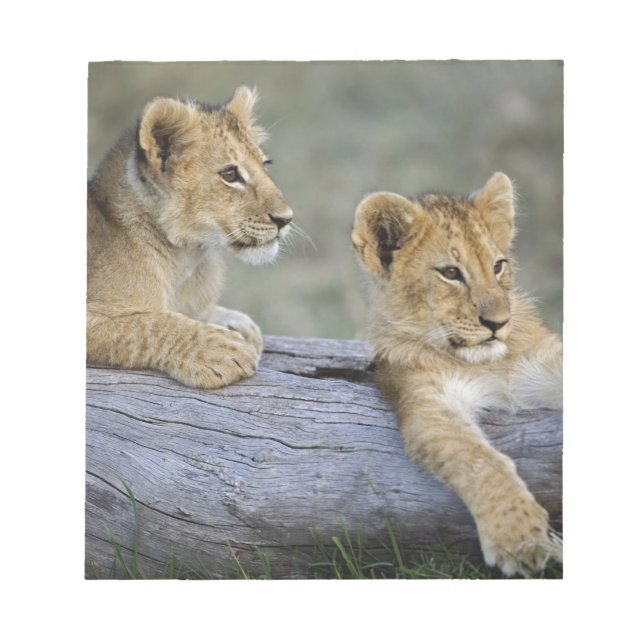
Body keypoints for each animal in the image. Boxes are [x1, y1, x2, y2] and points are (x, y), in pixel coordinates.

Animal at [87, 86, 292, 388]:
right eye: (230, 174)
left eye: (265, 164)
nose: (286, 219)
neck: (187, 259)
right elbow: (147, 325)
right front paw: (219, 350)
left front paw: (236, 323)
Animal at [352, 172, 562, 576]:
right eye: (451, 273)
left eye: (498, 266)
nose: (498, 323)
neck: (488, 363)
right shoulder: (427, 402)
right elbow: (480, 460)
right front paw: (520, 539)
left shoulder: (545, 361)